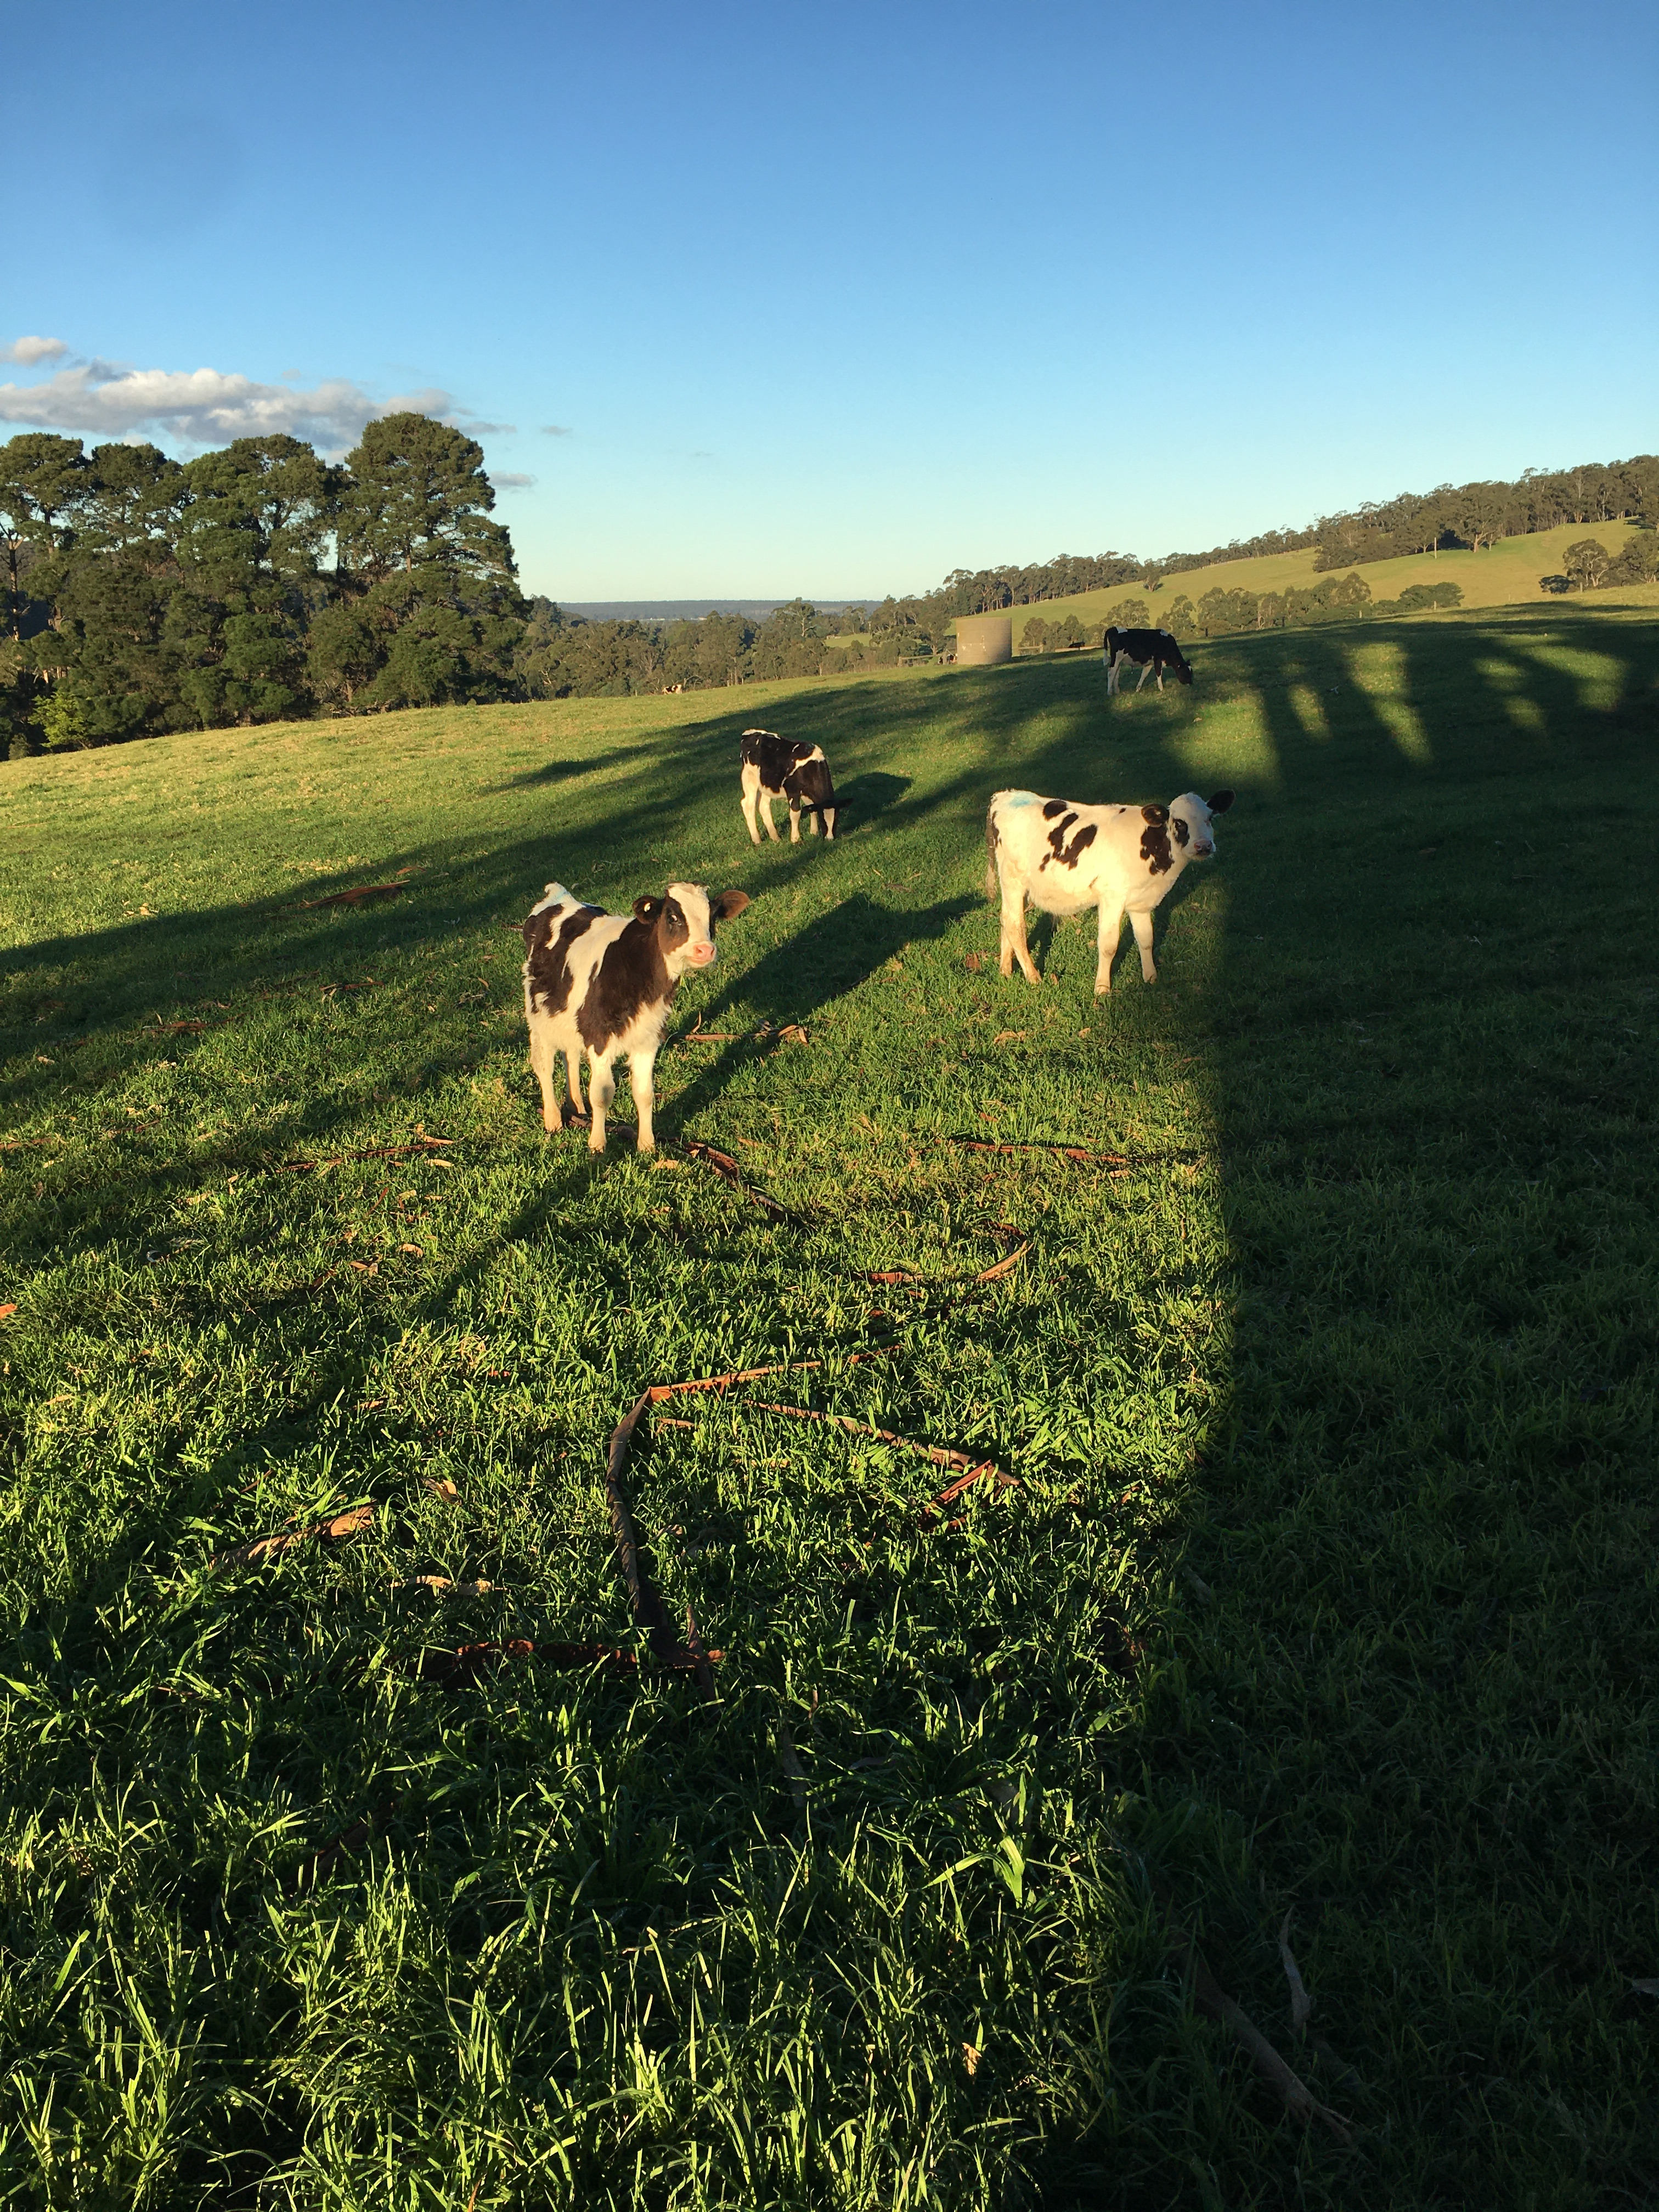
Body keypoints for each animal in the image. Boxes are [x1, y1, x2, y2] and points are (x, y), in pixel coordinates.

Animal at [523, 880, 751, 1152]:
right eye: (673, 917)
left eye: (713, 917)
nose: (705, 950)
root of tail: (560, 895)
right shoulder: (599, 1036)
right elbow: (601, 1094)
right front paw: (597, 1145)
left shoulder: (648, 1037)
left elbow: (645, 1093)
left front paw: (647, 1145)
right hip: (538, 1015)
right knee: (544, 1065)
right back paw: (553, 1119)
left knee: (571, 1056)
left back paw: (576, 1106)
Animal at [740, 728, 839, 844]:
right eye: (823, 820)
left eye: (836, 819)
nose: (830, 839)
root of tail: (750, 733)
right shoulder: (793, 791)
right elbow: (796, 813)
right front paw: (795, 839)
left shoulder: (806, 791)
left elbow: (811, 808)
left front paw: (814, 832)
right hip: (749, 780)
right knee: (748, 805)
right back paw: (757, 839)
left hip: (767, 784)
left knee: (763, 806)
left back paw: (775, 837)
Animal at [985, 787, 1234, 994]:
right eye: (1180, 823)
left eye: (1210, 818)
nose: (1204, 846)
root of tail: (1005, 795)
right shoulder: (1112, 898)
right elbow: (1108, 945)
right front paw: (1103, 988)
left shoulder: (1141, 903)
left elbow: (1146, 939)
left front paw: (1151, 977)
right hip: (1013, 879)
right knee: (1015, 925)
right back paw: (1033, 976)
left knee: (1005, 919)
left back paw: (1005, 970)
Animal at [1104, 627, 1193, 694]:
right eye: (1185, 672)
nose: (1191, 684)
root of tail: (1113, 628)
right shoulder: (1158, 660)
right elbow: (1158, 673)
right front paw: (1161, 688)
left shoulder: (1150, 663)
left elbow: (1144, 675)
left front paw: (1138, 689)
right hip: (1116, 659)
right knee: (1111, 673)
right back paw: (1109, 692)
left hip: (1119, 661)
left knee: (1116, 674)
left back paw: (1117, 691)